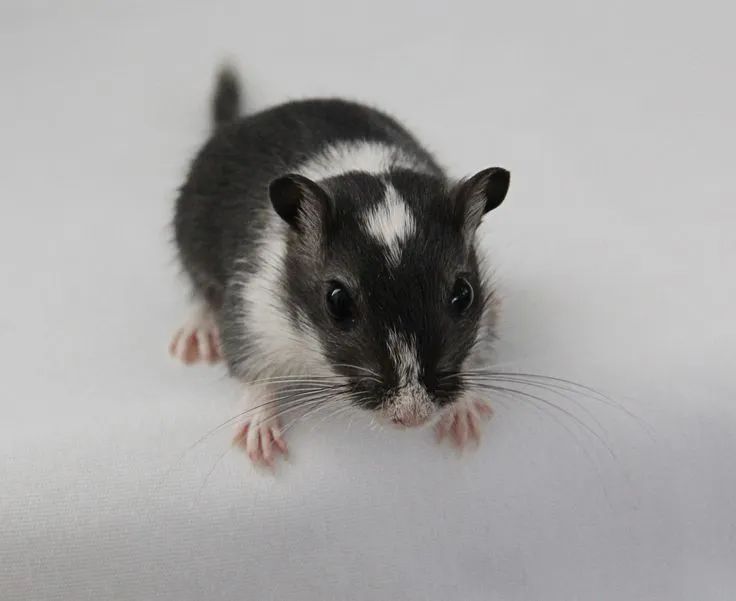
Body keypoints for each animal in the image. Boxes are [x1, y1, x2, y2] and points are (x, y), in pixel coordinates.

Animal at [170, 66, 510, 467]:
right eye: (337, 302)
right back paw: (195, 337)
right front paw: (259, 445)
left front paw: (466, 422)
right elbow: (253, 372)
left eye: (463, 295)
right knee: (199, 291)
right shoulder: (251, 313)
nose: (413, 418)